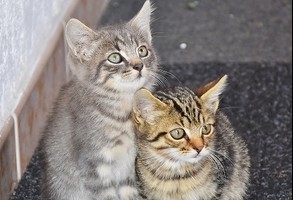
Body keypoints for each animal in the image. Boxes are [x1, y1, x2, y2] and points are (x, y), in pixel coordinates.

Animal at [40, 0, 159, 199]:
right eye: (115, 57)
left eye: (142, 51)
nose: (139, 65)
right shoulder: (93, 165)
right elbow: (106, 195)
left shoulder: (128, 166)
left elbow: (129, 193)